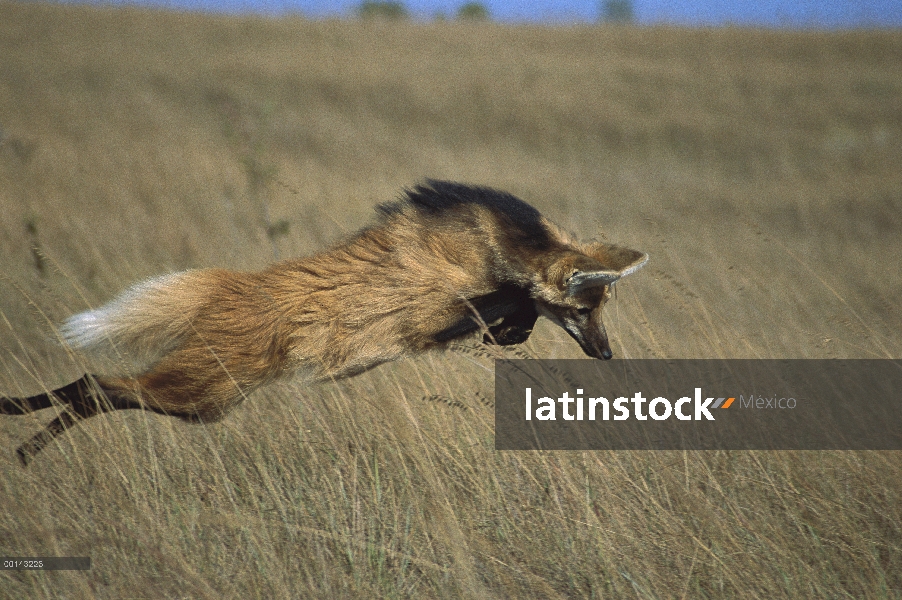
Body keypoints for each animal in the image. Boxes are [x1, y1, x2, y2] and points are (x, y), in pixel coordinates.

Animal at [1, 179, 648, 464]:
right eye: (585, 309)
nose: (607, 355)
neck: (499, 244)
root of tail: (228, 284)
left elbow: (513, 315)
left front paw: (514, 331)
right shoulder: (431, 313)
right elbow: (511, 303)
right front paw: (515, 320)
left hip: (211, 395)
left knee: (100, 390)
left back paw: (13, 422)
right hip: (207, 392)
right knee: (99, 387)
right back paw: (24, 445)